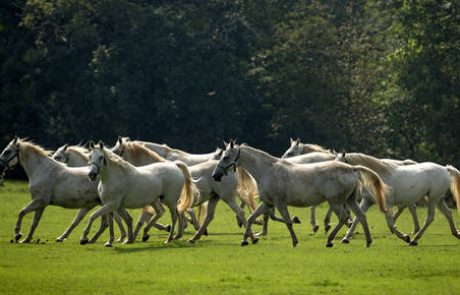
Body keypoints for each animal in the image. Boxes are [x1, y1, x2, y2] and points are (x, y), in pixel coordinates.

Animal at [112, 138, 255, 244]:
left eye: (115, 151)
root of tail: (230, 171)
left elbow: (152, 218)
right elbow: (145, 220)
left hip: (228, 197)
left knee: (241, 211)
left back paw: (250, 236)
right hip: (215, 197)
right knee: (210, 217)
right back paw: (196, 236)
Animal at [212, 142, 388, 249]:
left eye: (226, 156)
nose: (215, 175)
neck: (268, 171)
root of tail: (351, 168)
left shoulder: (280, 203)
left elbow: (288, 222)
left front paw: (295, 241)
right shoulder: (268, 203)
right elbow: (250, 218)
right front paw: (245, 240)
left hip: (336, 203)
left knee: (344, 218)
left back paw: (330, 241)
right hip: (349, 201)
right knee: (360, 217)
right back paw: (367, 241)